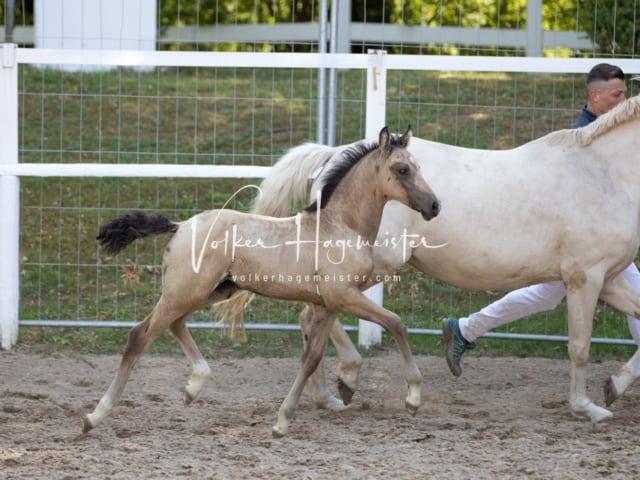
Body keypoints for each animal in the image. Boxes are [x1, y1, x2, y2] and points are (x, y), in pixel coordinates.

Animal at [82, 127, 440, 438]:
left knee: (175, 325)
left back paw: (193, 387)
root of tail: (181, 225)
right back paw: (95, 416)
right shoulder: (344, 297)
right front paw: (413, 398)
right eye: (402, 169)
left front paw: (283, 420)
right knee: (139, 336)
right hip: (184, 293)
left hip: (210, 291)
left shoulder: (327, 305)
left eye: (418, 166)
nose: (435, 206)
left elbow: (311, 358)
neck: (340, 227)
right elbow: (396, 324)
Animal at [219, 94, 640, 424]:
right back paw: (345, 381)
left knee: (314, 317)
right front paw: (587, 407)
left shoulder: (611, 278)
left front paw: (614, 386)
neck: (604, 174)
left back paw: (327, 395)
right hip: (366, 268)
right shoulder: (585, 277)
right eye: (403, 169)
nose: (434, 205)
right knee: (314, 315)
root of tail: (333, 155)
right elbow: (579, 346)